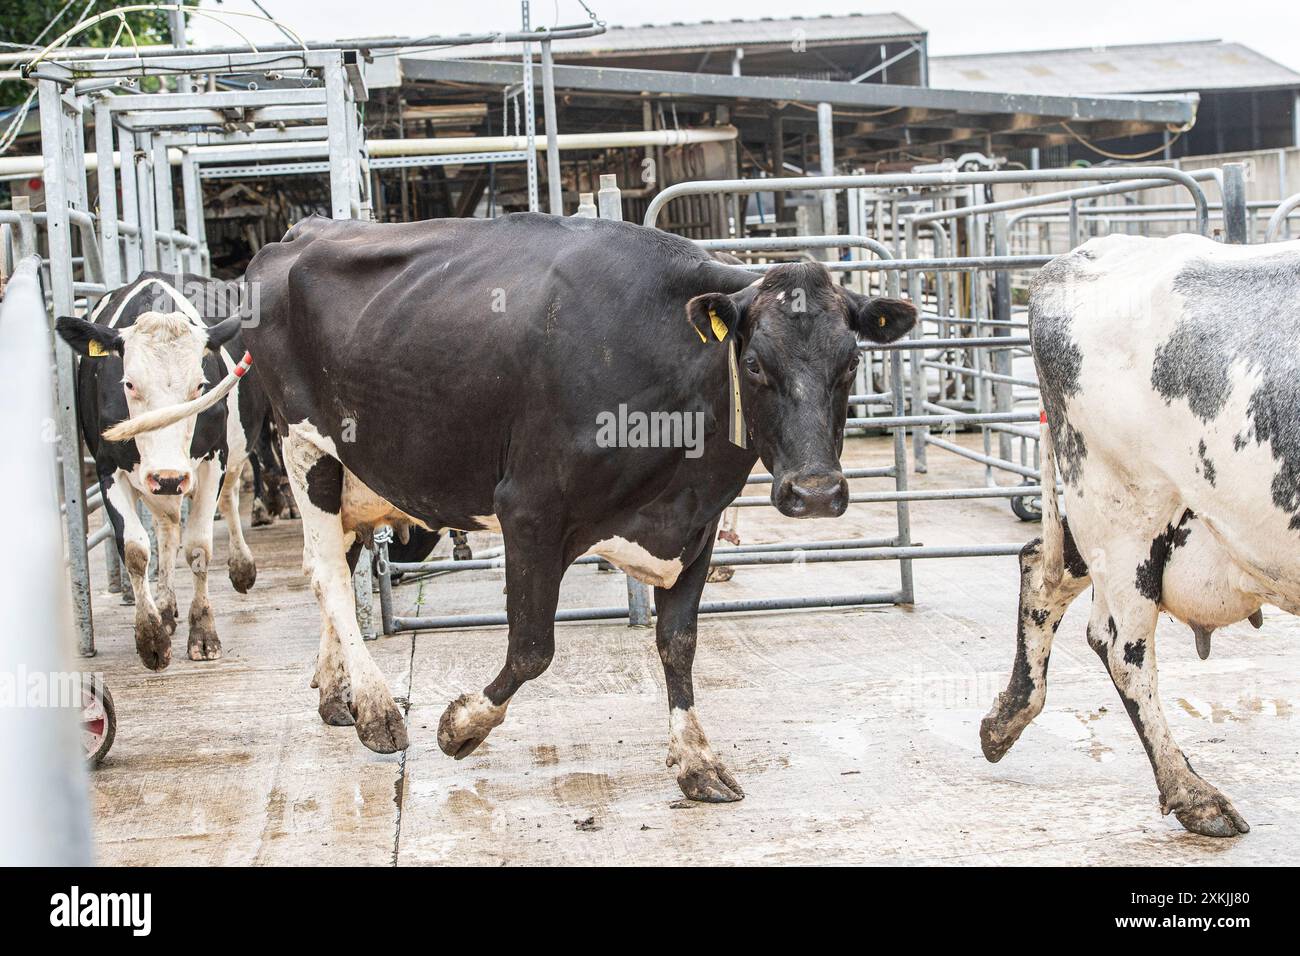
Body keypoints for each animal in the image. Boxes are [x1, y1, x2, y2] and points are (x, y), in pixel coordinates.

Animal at [54, 273, 273, 671]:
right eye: (128, 383)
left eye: (200, 385)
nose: (169, 477)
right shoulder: (110, 468)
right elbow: (136, 550)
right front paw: (151, 637)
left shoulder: (213, 460)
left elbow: (199, 546)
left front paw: (203, 633)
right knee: (167, 529)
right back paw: (167, 606)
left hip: (233, 450)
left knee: (230, 497)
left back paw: (241, 567)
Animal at [982, 238, 1300, 837]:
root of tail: (1083, 255)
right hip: (1124, 509)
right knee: (1121, 647)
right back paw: (1194, 794)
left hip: (1127, 517)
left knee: (1041, 567)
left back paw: (1005, 719)